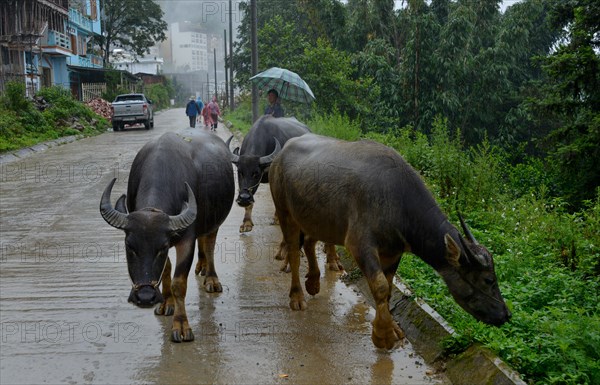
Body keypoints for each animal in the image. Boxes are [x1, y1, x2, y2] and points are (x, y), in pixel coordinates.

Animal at [99, 130, 233, 340]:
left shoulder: (186, 240)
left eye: (161, 248)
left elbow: (179, 283)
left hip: (214, 222)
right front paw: (166, 304)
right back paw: (201, 267)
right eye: (129, 246)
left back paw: (211, 278)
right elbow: (167, 269)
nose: (145, 297)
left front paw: (181, 326)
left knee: (210, 244)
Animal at [270, 134, 510, 350]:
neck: (399, 203)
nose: (505, 314)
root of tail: (281, 154)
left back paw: (313, 281)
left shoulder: (393, 252)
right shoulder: (360, 245)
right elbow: (381, 286)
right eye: (488, 280)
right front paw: (383, 335)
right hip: (285, 212)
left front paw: (392, 328)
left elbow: (388, 289)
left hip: (318, 219)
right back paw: (297, 295)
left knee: (310, 242)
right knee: (294, 252)